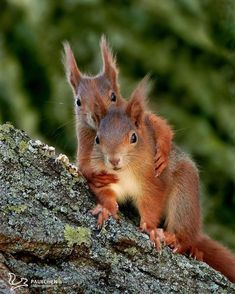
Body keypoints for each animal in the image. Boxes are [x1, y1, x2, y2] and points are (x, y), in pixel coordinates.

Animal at [63, 35, 173, 186]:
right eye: (78, 102)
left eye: (113, 96)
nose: (96, 115)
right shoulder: (84, 137)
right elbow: (83, 164)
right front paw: (98, 176)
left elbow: (161, 126)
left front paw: (162, 153)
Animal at [89, 78, 235, 282]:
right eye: (97, 139)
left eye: (133, 137)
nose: (114, 160)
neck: (125, 170)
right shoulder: (100, 175)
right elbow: (106, 193)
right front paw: (107, 208)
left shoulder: (154, 180)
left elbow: (151, 202)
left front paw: (150, 228)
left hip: (185, 195)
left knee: (186, 233)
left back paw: (180, 242)